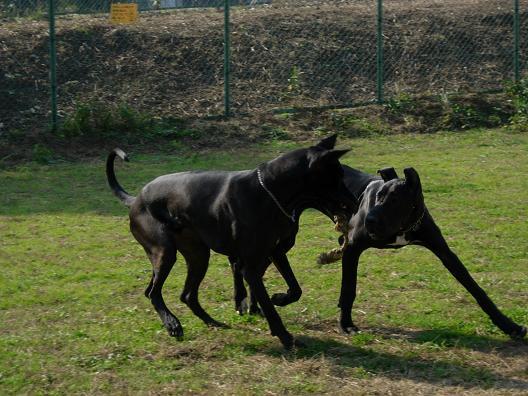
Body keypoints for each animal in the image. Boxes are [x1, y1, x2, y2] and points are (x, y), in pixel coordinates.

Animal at [105, 136, 356, 350]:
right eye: (338, 177)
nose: (355, 201)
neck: (270, 192)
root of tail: (136, 199)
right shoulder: (250, 267)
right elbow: (267, 304)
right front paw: (285, 337)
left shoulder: (275, 252)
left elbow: (295, 289)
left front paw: (280, 298)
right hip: (164, 252)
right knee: (153, 292)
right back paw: (172, 324)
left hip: (198, 256)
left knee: (185, 294)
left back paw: (212, 322)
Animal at [233, 164, 524, 340]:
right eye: (377, 197)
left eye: (394, 199)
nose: (369, 218)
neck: (402, 226)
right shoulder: (352, 247)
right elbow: (348, 290)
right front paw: (346, 324)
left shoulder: (444, 251)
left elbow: (475, 288)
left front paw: (508, 325)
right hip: (283, 237)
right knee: (244, 267)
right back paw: (250, 302)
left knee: (253, 269)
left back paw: (256, 306)